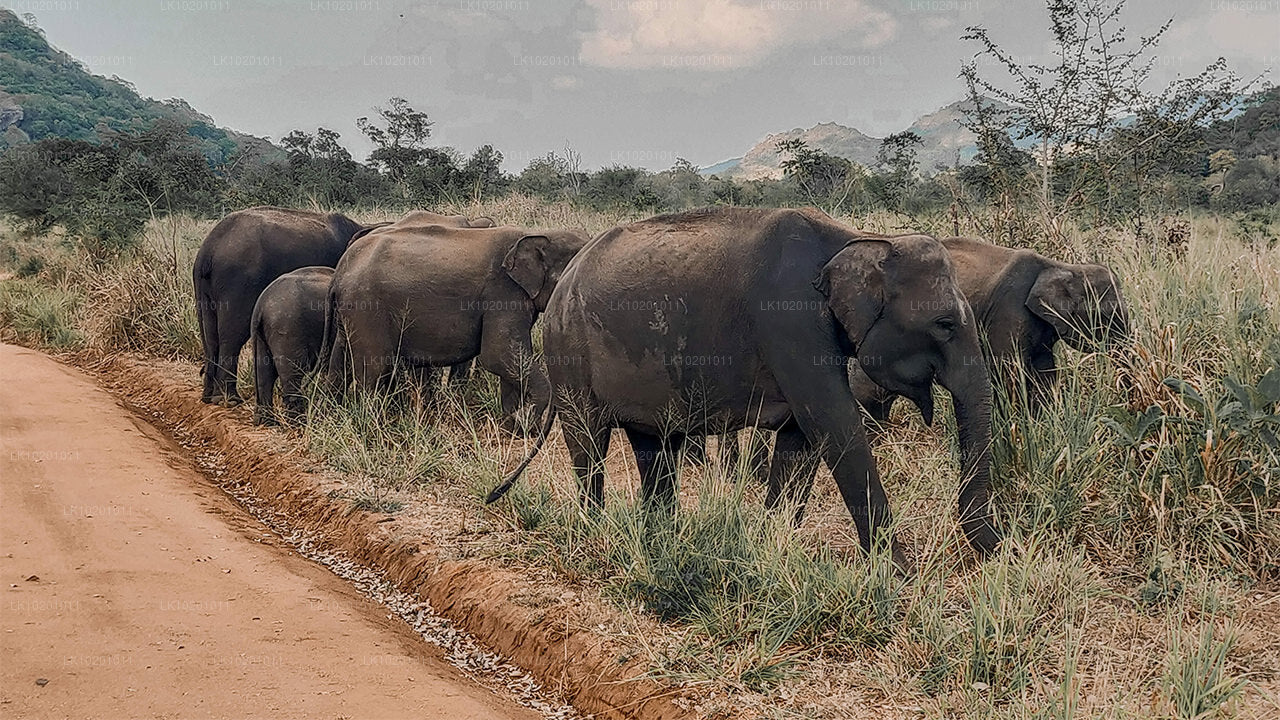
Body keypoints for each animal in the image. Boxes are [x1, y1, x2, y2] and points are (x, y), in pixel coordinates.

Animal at [194, 206, 494, 404]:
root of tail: (207, 250)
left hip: (209, 288)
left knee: (211, 333)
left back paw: (210, 397)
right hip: (239, 279)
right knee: (232, 335)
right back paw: (229, 400)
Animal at [249, 265, 335, 422]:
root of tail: (260, 307)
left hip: (262, 334)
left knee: (264, 373)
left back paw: (265, 421)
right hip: (288, 329)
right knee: (293, 374)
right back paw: (297, 422)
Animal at [325, 221, 593, 427]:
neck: (537, 233)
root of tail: (340, 272)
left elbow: (508, 360)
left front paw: (513, 426)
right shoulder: (503, 293)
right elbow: (497, 355)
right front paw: (527, 424)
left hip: (350, 313)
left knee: (340, 361)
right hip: (367, 308)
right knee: (374, 368)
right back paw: (372, 429)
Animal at [486, 207, 998, 561]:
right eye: (945, 324)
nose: (994, 552)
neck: (855, 239)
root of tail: (563, 284)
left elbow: (801, 440)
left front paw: (771, 546)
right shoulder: (789, 323)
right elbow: (833, 424)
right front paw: (897, 575)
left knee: (655, 447)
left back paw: (660, 539)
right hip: (570, 352)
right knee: (589, 443)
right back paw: (596, 532)